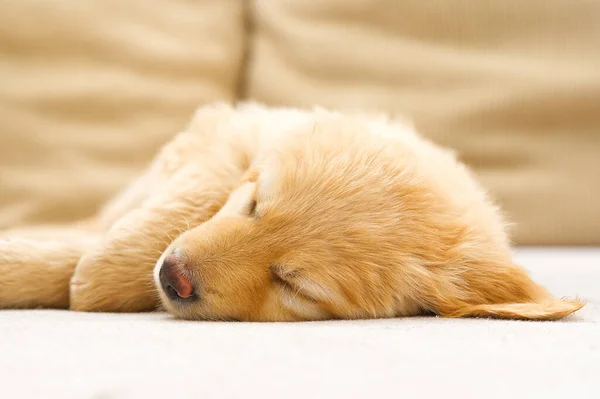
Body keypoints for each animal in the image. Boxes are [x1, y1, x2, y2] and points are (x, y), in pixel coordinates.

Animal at [0, 103, 584, 322]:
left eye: (294, 285)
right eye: (255, 204)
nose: (173, 277)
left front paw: (87, 278)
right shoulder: (226, 136)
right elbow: (192, 194)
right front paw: (103, 269)